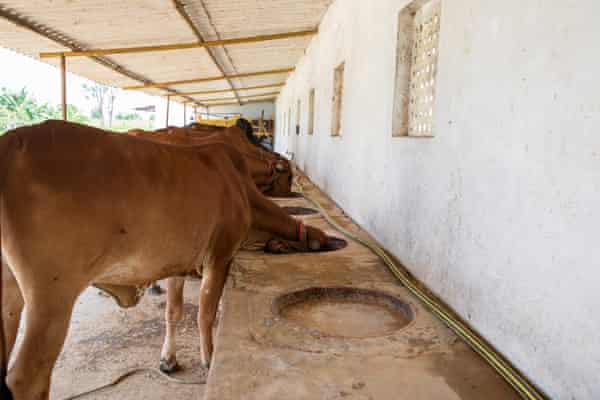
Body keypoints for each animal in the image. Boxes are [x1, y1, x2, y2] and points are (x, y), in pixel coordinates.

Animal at [0, 121, 332, 400]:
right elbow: (205, 313)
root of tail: (9, 143)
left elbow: (173, 312)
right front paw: (209, 360)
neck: (241, 186)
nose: (292, 191)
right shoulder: (219, 256)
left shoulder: (176, 264)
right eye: (287, 175)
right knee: (27, 379)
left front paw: (168, 360)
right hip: (51, 297)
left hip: (10, 295)